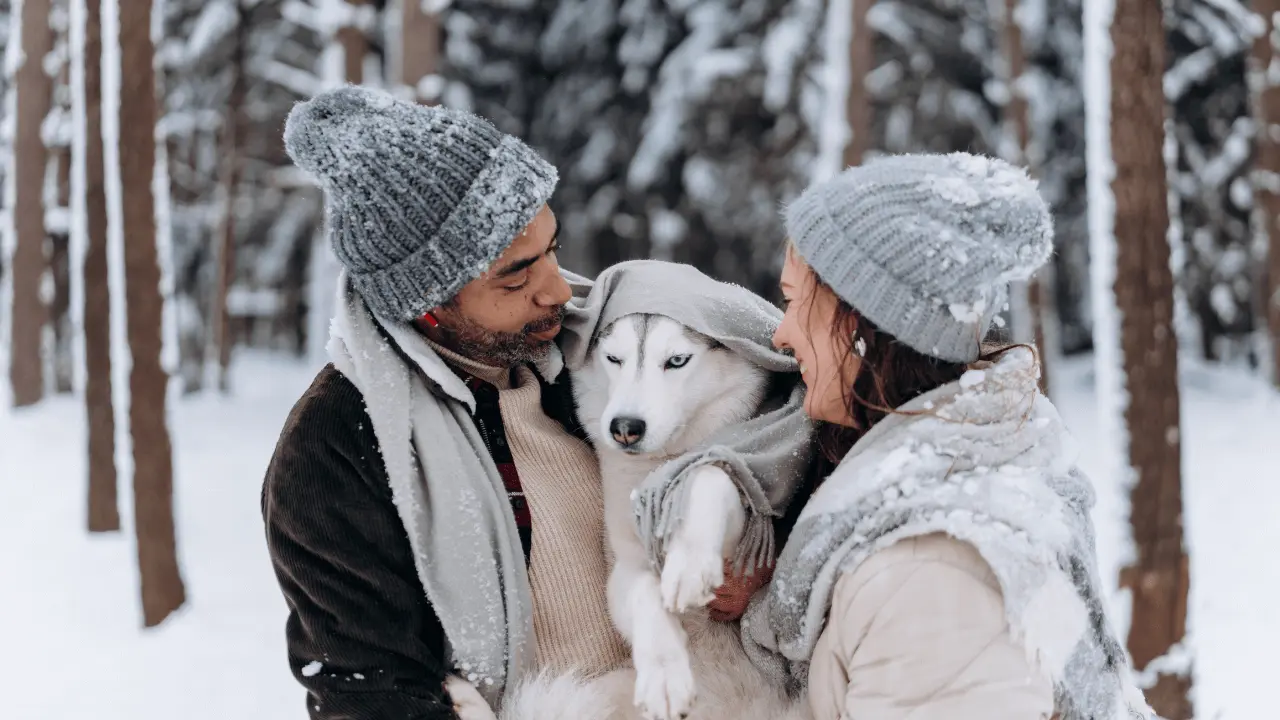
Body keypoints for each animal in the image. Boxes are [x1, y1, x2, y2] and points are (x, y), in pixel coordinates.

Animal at [453, 313, 808, 717]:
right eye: (613, 359)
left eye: (676, 360)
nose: (625, 427)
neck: (655, 473)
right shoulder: (626, 569)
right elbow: (644, 597)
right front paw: (666, 673)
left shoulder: (745, 532)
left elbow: (708, 472)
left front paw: (690, 565)